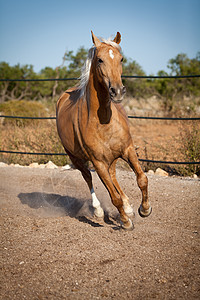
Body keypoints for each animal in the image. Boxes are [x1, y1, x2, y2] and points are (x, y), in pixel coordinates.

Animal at [56, 31, 152, 230]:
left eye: (121, 59)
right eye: (99, 60)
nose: (117, 91)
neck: (103, 120)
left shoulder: (128, 150)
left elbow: (142, 179)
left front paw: (144, 209)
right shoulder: (98, 163)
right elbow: (113, 197)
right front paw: (125, 222)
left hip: (112, 158)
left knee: (113, 176)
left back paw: (128, 207)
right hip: (76, 157)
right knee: (88, 178)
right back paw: (99, 210)